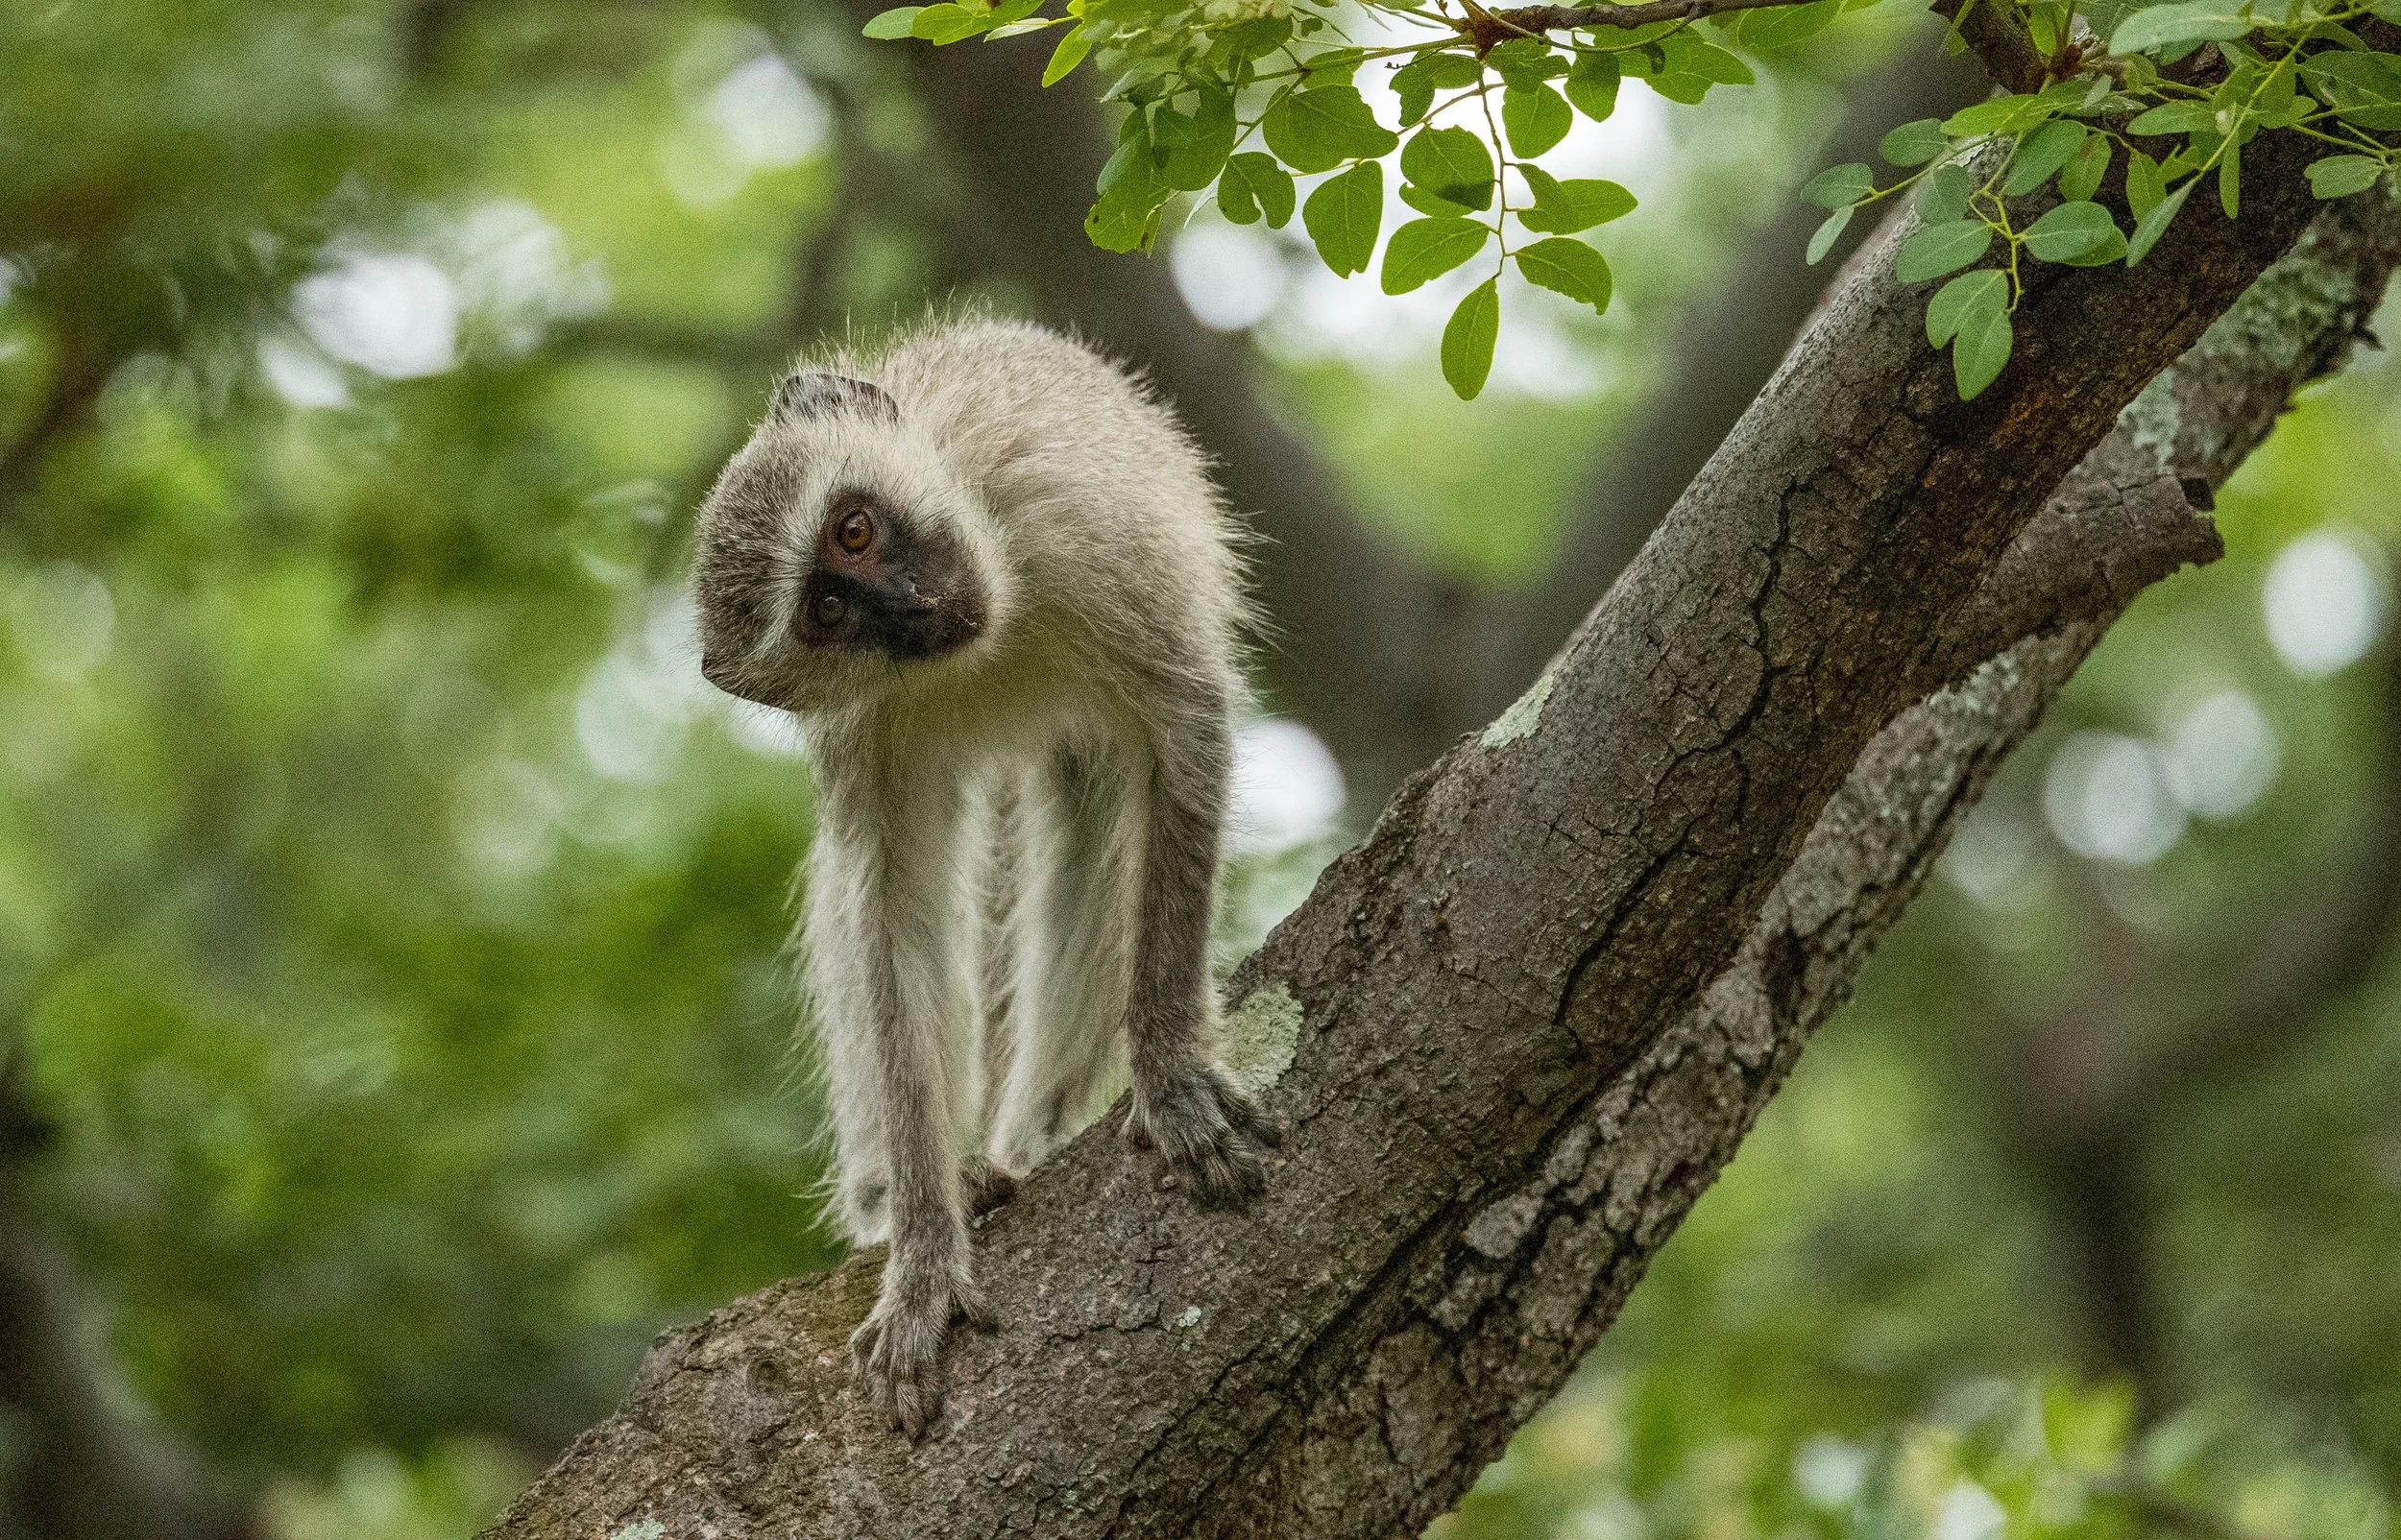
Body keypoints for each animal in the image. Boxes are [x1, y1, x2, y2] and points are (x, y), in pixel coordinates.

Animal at [691, 318, 1277, 1437]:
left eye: (855, 531)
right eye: (826, 610)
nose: (911, 602)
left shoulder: (1086, 519)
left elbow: (1184, 733)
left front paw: (1170, 1067)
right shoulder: (861, 730)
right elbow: (895, 916)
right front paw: (924, 1251)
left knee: (1100, 812)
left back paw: (1040, 1126)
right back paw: (912, 1186)